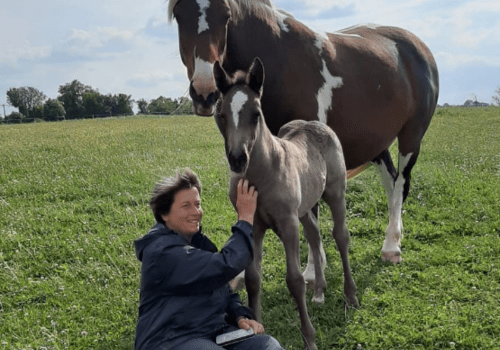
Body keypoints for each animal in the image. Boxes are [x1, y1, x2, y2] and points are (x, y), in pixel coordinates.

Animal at [169, 0, 438, 264]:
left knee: (401, 182)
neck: (279, 59)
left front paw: (312, 269)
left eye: (225, 15)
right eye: (178, 15)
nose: (204, 92)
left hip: (411, 138)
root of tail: (418, 48)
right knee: (391, 182)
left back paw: (392, 247)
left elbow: (310, 212)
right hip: (375, 143)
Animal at [213, 58, 358, 350]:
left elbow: (294, 279)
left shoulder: (287, 223)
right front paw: (257, 328)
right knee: (314, 233)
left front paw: (310, 338)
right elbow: (253, 279)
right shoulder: (255, 226)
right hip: (304, 207)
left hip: (335, 193)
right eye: (221, 115)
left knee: (340, 235)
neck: (264, 174)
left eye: (256, 113)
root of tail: (316, 124)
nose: (238, 159)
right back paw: (319, 292)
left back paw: (350, 296)